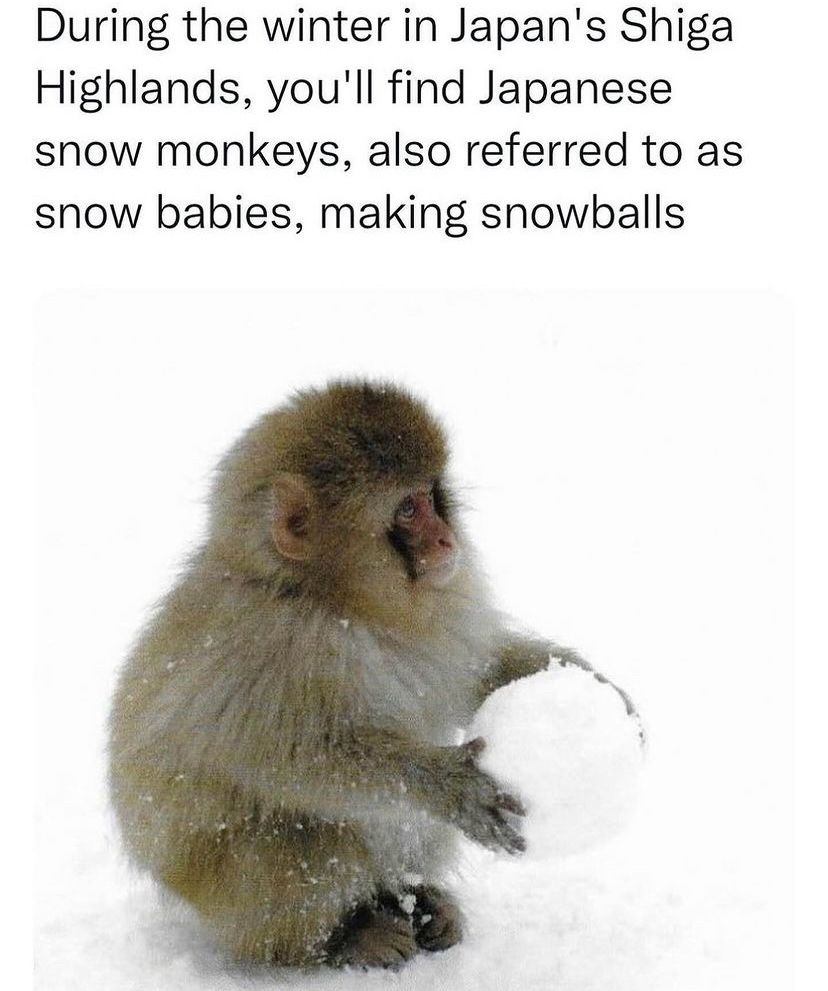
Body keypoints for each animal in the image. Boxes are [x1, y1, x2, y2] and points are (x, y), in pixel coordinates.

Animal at [108, 380, 638, 969]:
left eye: (431, 497)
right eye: (406, 510)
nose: (446, 541)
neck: (340, 602)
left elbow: (474, 669)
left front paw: (599, 689)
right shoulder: (276, 646)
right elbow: (299, 757)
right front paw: (451, 785)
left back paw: (417, 898)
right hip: (227, 897)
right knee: (303, 841)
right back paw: (344, 935)